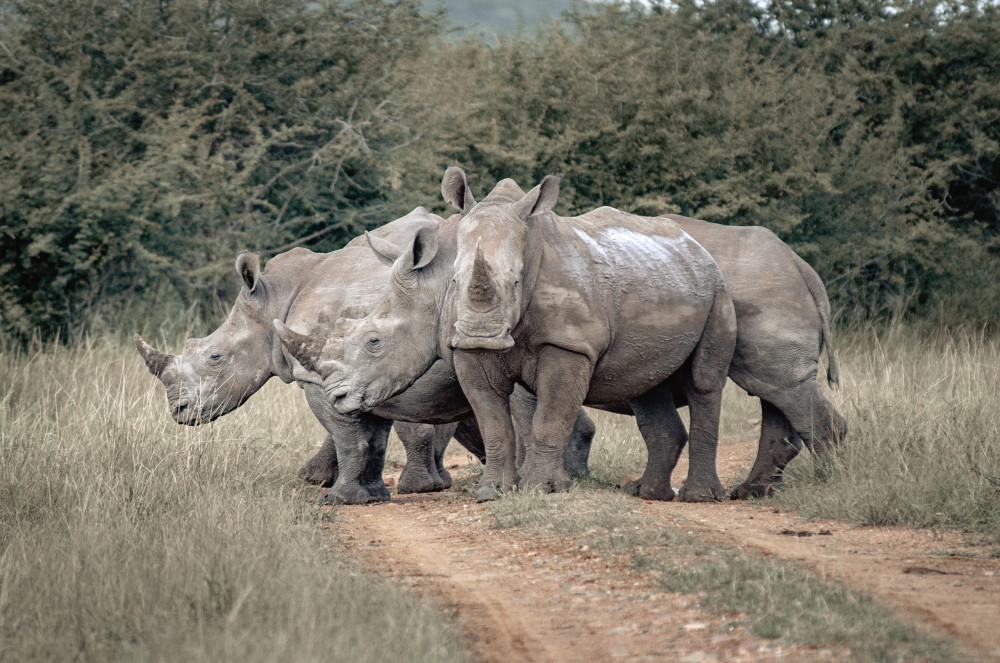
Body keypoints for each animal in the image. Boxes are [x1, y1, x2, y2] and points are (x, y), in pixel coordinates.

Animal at [135, 209, 595, 504]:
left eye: (214, 357)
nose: (178, 411)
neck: (273, 302)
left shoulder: (323, 374)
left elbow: (349, 435)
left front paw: (338, 497)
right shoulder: (360, 372)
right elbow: (372, 434)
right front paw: (370, 493)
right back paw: (574, 479)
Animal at [282, 169, 845, 501]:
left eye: (374, 341)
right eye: (461, 285)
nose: (336, 394)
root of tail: (801, 264)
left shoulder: (569, 344)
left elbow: (548, 415)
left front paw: (540, 489)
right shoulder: (463, 347)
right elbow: (494, 420)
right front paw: (493, 492)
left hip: (724, 291)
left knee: (722, 383)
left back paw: (719, 496)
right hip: (669, 282)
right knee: (654, 388)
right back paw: (653, 494)